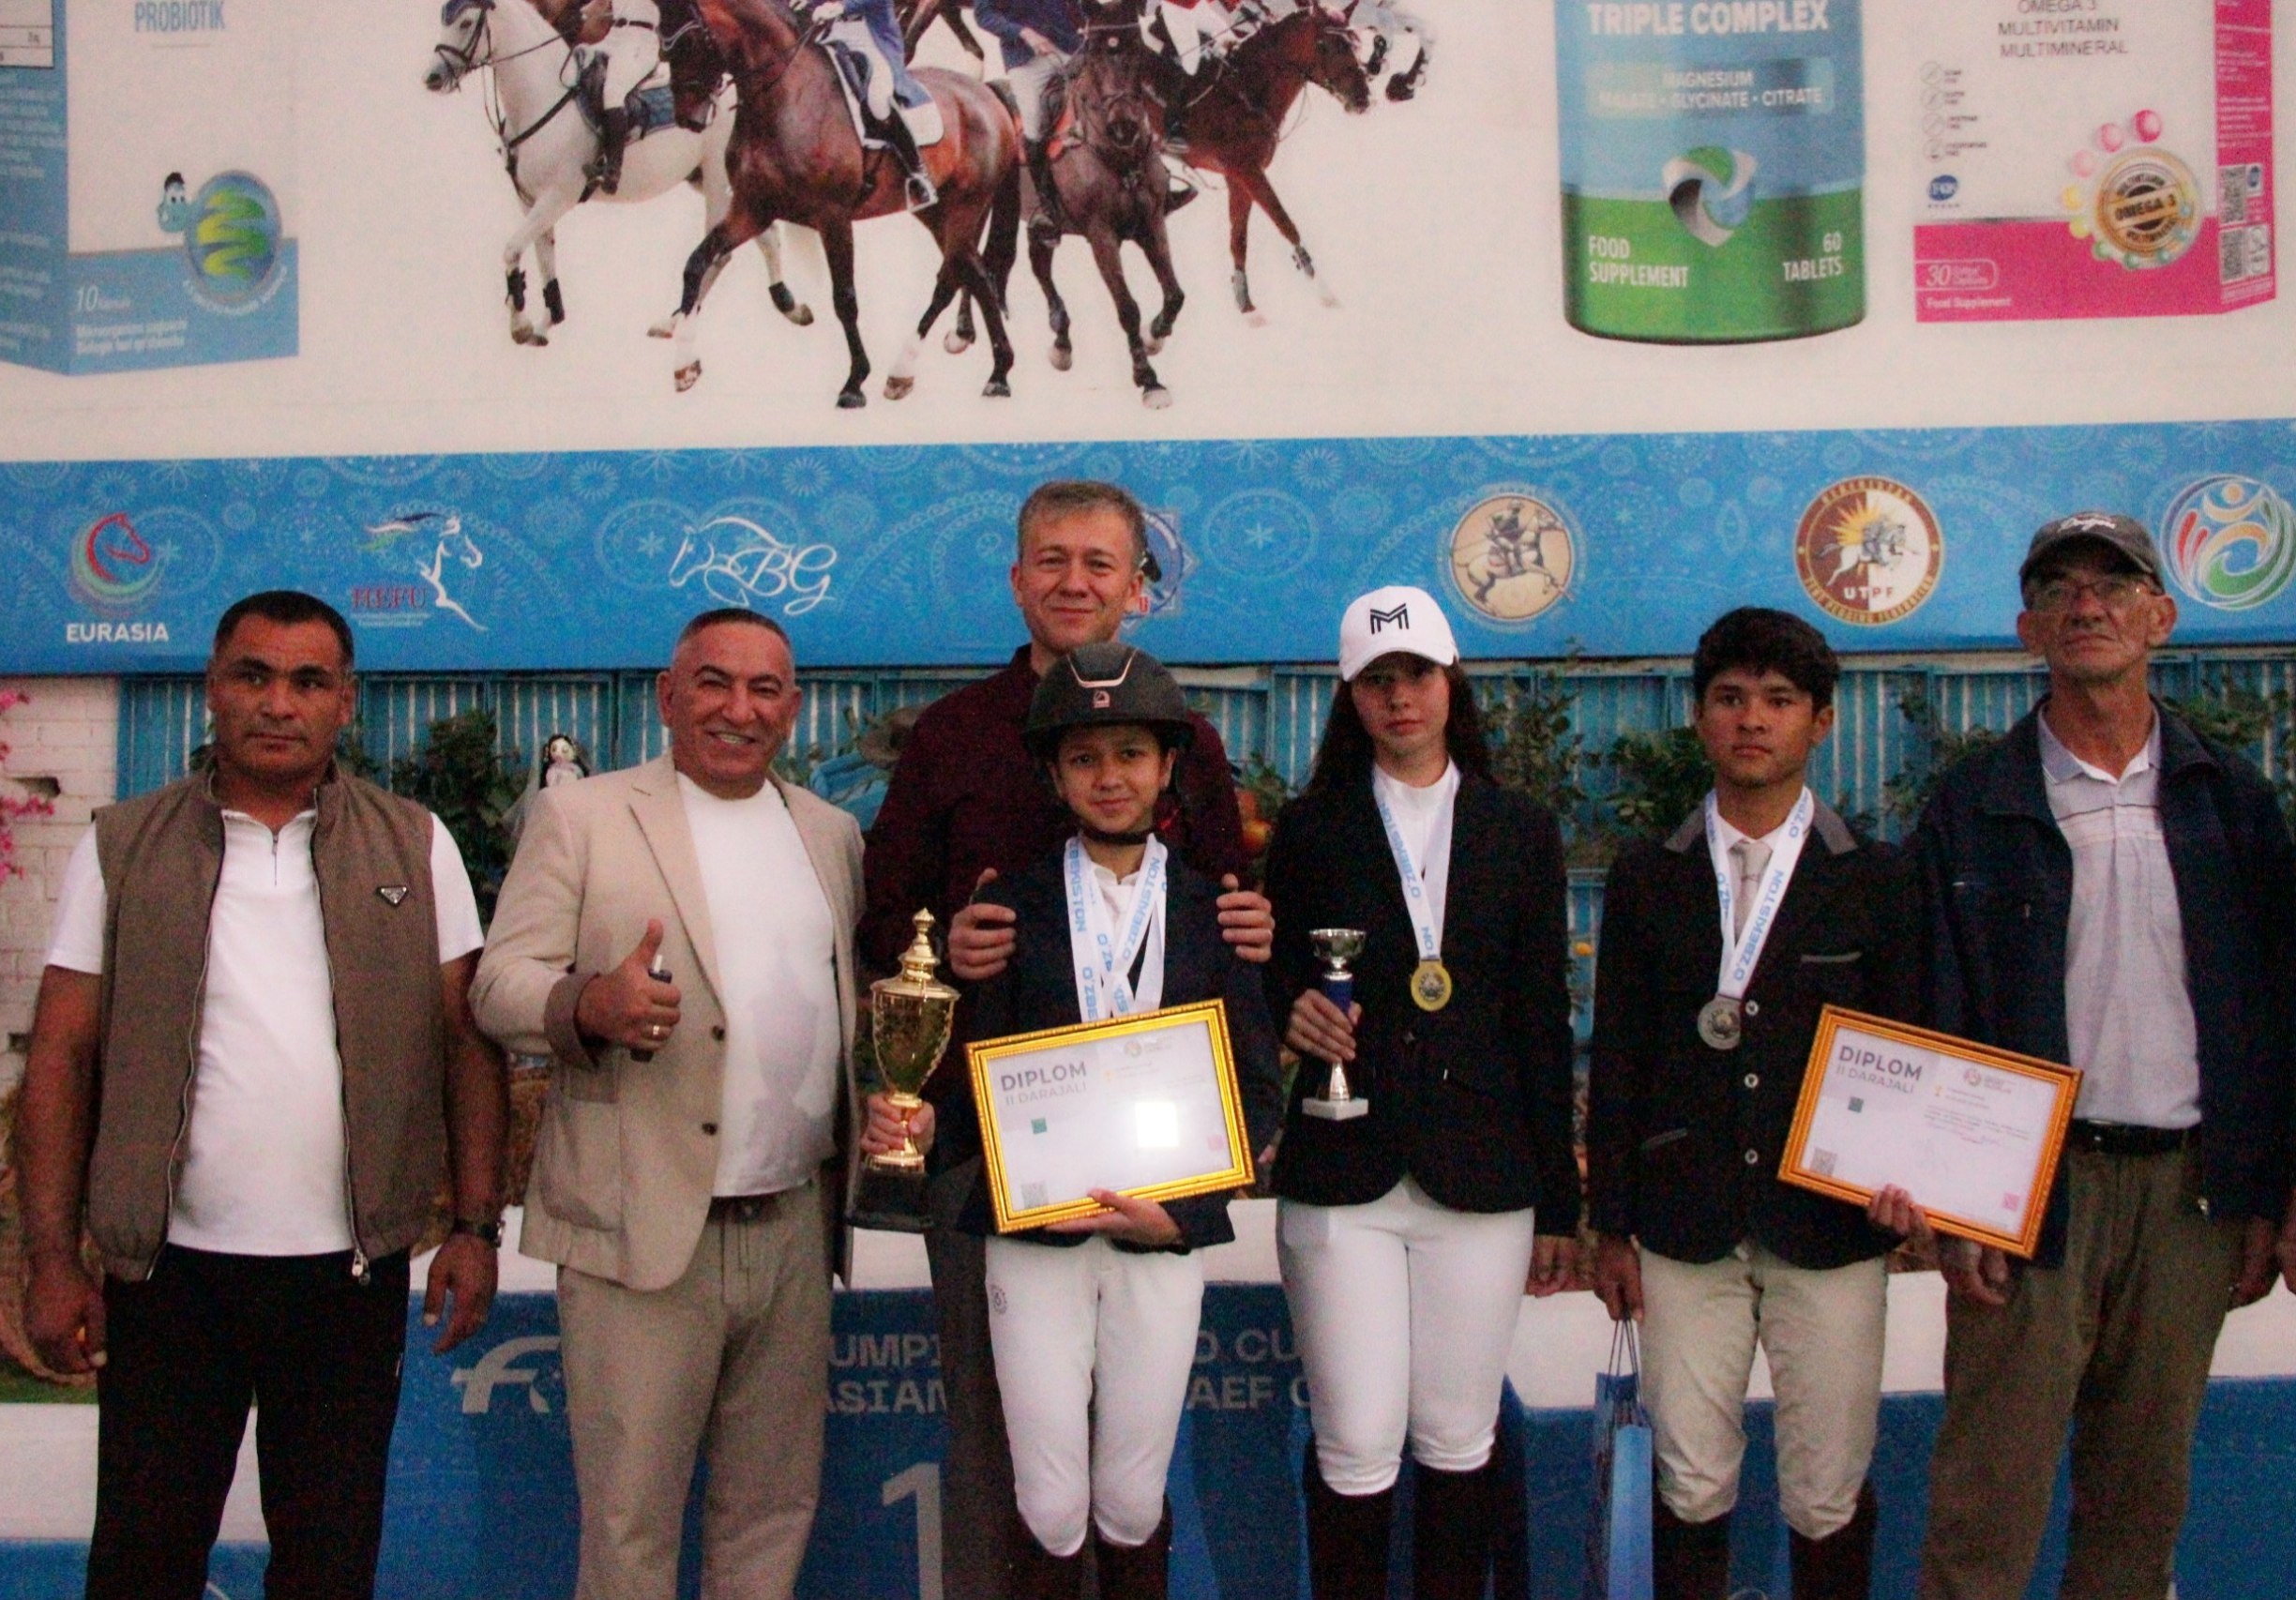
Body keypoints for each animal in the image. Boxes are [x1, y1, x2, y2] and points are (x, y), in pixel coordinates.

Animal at [425, 0, 812, 350]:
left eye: (466, 22)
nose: (433, 78)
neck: (545, 95)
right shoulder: (530, 201)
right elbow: (543, 257)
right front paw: (546, 322)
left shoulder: (558, 197)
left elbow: (511, 250)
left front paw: (520, 325)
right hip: (705, 180)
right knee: (767, 236)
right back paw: (789, 305)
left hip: (718, 182)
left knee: (718, 254)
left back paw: (676, 324)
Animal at [668, 0, 1020, 407]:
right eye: (664, 48)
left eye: (691, 41)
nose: (689, 119)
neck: (787, 97)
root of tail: (987, 94)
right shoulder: (752, 209)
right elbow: (696, 264)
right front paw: (684, 365)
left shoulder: (833, 218)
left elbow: (845, 298)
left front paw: (854, 382)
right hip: (937, 213)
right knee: (976, 274)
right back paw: (987, 372)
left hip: (965, 207)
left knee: (955, 278)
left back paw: (923, 369)